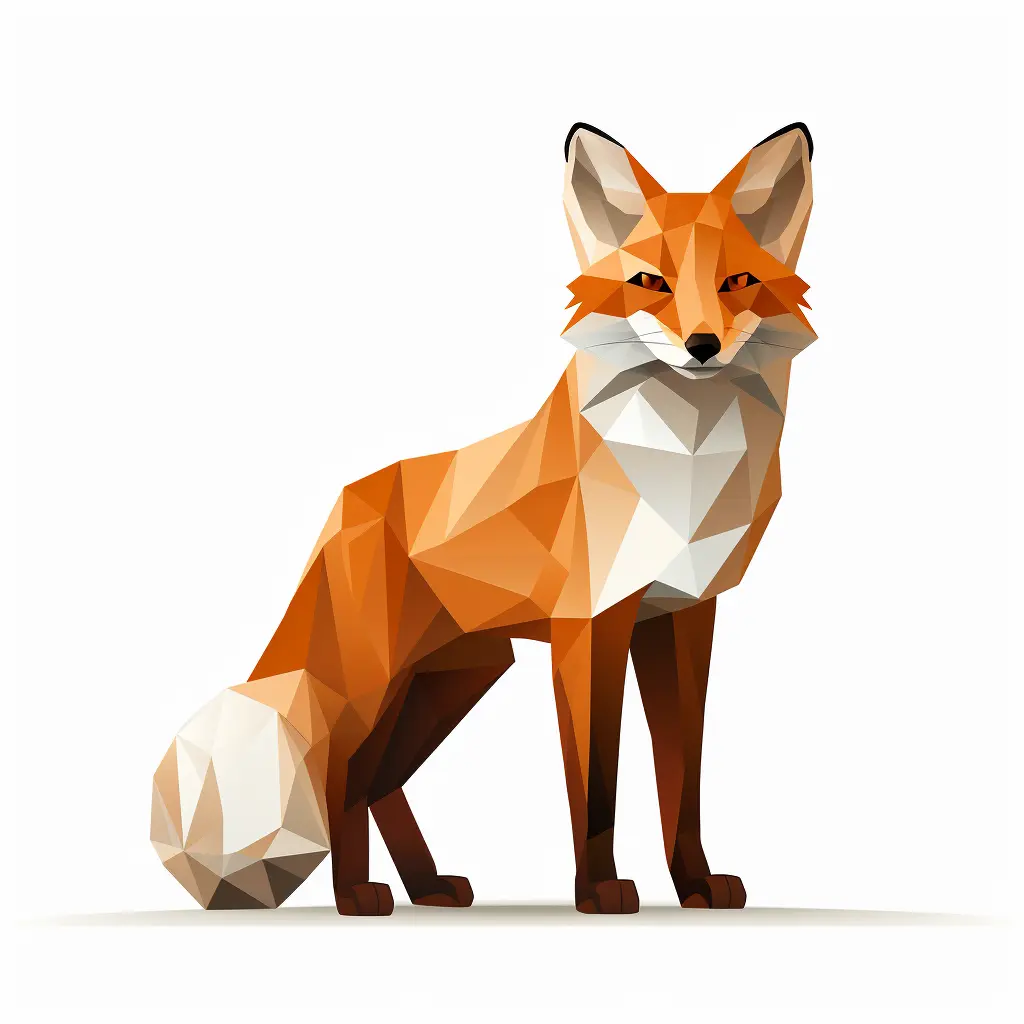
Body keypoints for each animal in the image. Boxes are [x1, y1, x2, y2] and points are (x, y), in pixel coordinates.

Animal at [151, 121, 817, 915]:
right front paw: (598, 889)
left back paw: (427, 885)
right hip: (376, 688)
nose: (703, 347)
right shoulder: (590, 626)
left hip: (453, 682)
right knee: (342, 777)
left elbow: (682, 780)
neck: (683, 465)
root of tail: (346, 502)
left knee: (377, 785)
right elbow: (596, 784)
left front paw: (696, 884)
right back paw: (356, 896)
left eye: (738, 282)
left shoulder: (683, 615)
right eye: (650, 283)